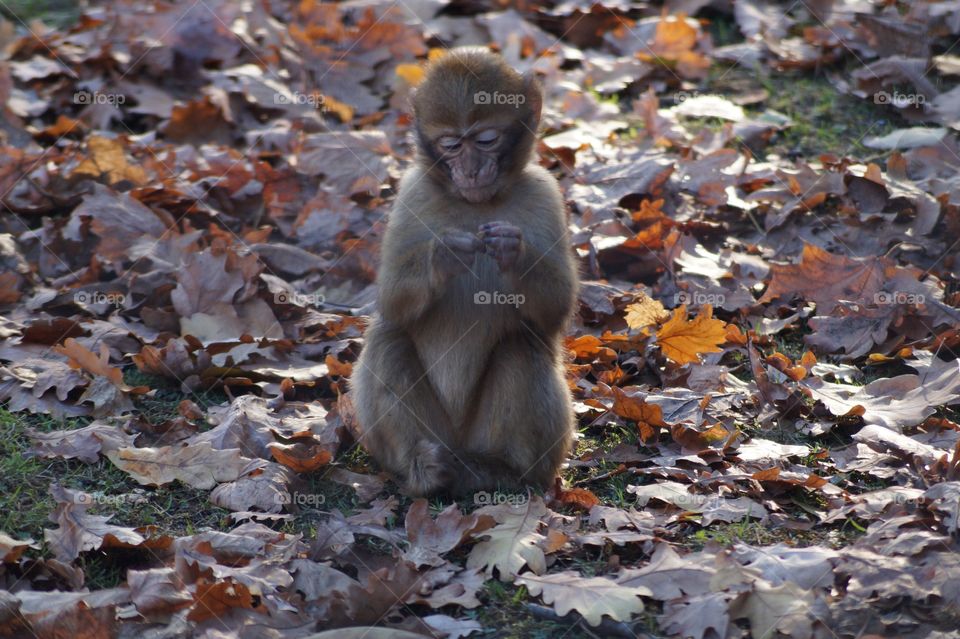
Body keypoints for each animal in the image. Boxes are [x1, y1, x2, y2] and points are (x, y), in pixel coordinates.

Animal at [350, 47, 578, 497]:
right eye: (452, 145)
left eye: (486, 140)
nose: (471, 170)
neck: (478, 205)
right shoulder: (411, 193)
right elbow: (390, 303)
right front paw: (444, 255)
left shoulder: (545, 194)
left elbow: (555, 311)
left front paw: (512, 252)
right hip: (428, 434)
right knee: (389, 338)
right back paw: (424, 471)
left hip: (488, 437)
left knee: (522, 344)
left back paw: (500, 471)